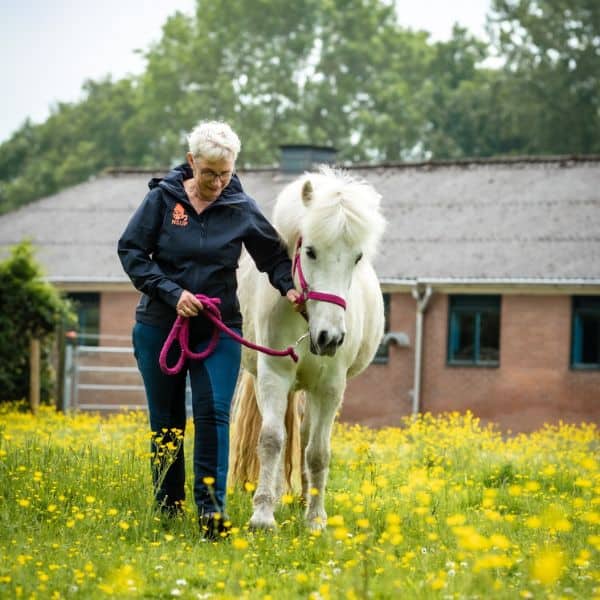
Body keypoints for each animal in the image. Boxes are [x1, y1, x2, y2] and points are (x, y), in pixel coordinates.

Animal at [230, 166, 384, 528]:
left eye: (357, 257)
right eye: (310, 251)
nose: (330, 337)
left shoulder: (330, 387)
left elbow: (318, 452)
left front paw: (315, 519)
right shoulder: (273, 374)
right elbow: (272, 440)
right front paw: (263, 515)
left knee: (305, 437)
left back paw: (302, 500)